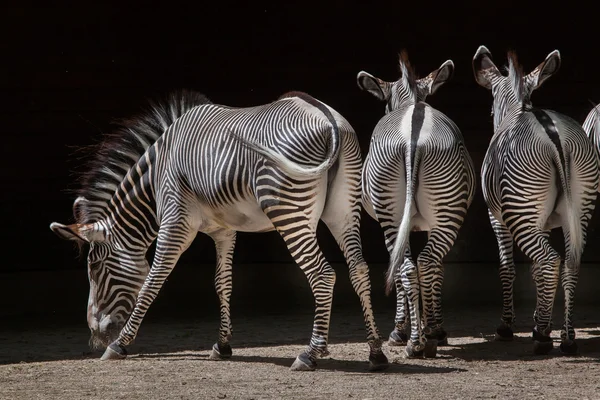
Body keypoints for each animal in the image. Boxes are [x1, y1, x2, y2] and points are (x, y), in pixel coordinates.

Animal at [48, 89, 390, 370]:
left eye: (95, 267)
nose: (95, 337)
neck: (156, 174)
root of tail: (330, 119)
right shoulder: (224, 231)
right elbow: (222, 283)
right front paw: (223, 345)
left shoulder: (175, 223)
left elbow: (152, 281)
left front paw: (120, 345)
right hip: (343, 210)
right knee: (359, 269)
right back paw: (375, 352)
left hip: (288, 209)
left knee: (323, 275)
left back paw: (310, 353)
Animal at [356, 51, 478, 358]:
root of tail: (413, 130)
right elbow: (433, 271)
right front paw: (425, 327)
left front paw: (405, 329)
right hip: (441, 211)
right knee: (423, 263)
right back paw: (423, 338)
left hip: (396, 212)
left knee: (413, 266)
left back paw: (417, 340)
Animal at [474, 45, 600, 354]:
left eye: (491, 109)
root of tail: (555, 137)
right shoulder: (542, 220)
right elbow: (534, 271)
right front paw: (540, 318)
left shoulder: (497, 218)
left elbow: (508, 268)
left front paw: (509, 326)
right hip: (578, 208)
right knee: (570, 263)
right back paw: (567, 336)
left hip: (521, 210)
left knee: (550, 261)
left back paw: (543, 337)